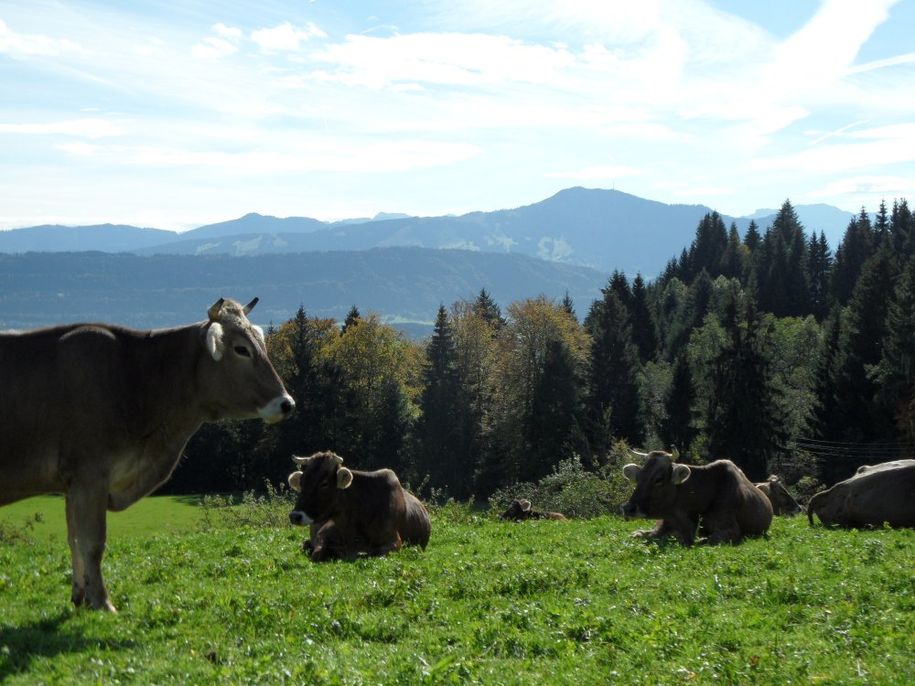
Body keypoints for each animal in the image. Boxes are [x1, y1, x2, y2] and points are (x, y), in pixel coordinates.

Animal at [0, 298, 294, 612]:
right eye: (241, 349)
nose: (286, 403)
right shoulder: (90, 473)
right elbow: (92, 542)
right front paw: (102, 602)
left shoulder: (72, 483)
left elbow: (74, 538)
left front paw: (81, 597)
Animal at [288, 452, 432, 564]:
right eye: (301, 482)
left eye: (324, 483)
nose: (295, 516)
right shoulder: (323, 534)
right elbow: (316, 554)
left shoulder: (394, 543)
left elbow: (369, 554)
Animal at [624, 452, 772, 548]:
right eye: (638, 477)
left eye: (658, 479)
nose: (628, 508)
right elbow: (641, 534)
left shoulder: (730, 529)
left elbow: (707, 540)